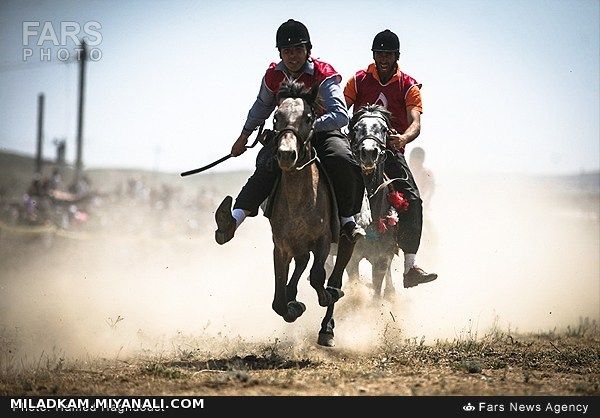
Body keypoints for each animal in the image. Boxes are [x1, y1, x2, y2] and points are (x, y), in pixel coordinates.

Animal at [266, 81, 352, 346]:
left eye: (309, 117)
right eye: (276, 116)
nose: (286, 154)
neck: (300, 200)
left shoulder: (323, 240)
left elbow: (317, 276)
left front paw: (326, 295)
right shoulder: (281, 247)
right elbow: (278, 299)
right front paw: (293, 306)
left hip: (346, 239)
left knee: (334, 274)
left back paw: (327, 327)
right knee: (302, 263)